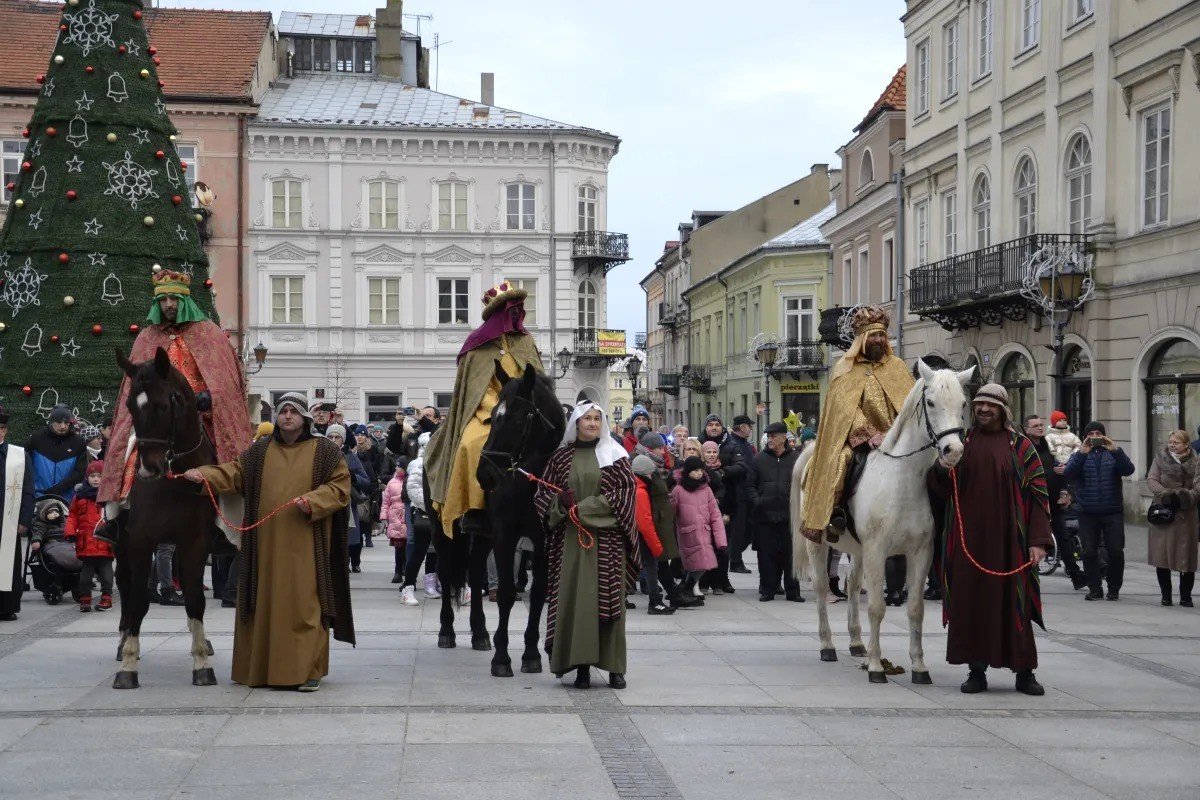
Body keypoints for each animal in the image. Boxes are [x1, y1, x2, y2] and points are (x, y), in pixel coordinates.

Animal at [111, 347, 219, 690]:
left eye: (161, 405)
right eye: (130, 406)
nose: (148, 470)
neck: (176, 481)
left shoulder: (195, 542)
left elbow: (195, 598)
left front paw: (202, 663)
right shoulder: (139, 542)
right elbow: (138, 600)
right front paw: (128, 665)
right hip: (121, 545)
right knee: (126, 587)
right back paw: (123, 641)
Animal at [429, 362, 564, 676]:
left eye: (516, 417)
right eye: (493, 417)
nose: (485, 474)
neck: (530, 479)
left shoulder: (542, 539)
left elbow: (538, 594)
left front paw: (531, 654)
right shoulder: (505, 535)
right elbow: (504, 592)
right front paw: (502, 659)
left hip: (481, 536)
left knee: (476, 568)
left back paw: (479, 633)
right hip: (441, 529)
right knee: (445, 571)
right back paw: (447, 631)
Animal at [787, 362, 974, 681]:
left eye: (962, 403)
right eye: (931, 402)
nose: (953, 451)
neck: (903, 480)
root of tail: (811, 454)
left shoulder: (920, 552)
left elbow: (915, 608)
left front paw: (919, 667)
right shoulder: (877, 549)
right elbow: (876, 606)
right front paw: (876, 667)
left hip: (858, 550)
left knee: (851, 584)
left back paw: (856, 642)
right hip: (820, 542)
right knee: (823, 587)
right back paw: (827, 646)